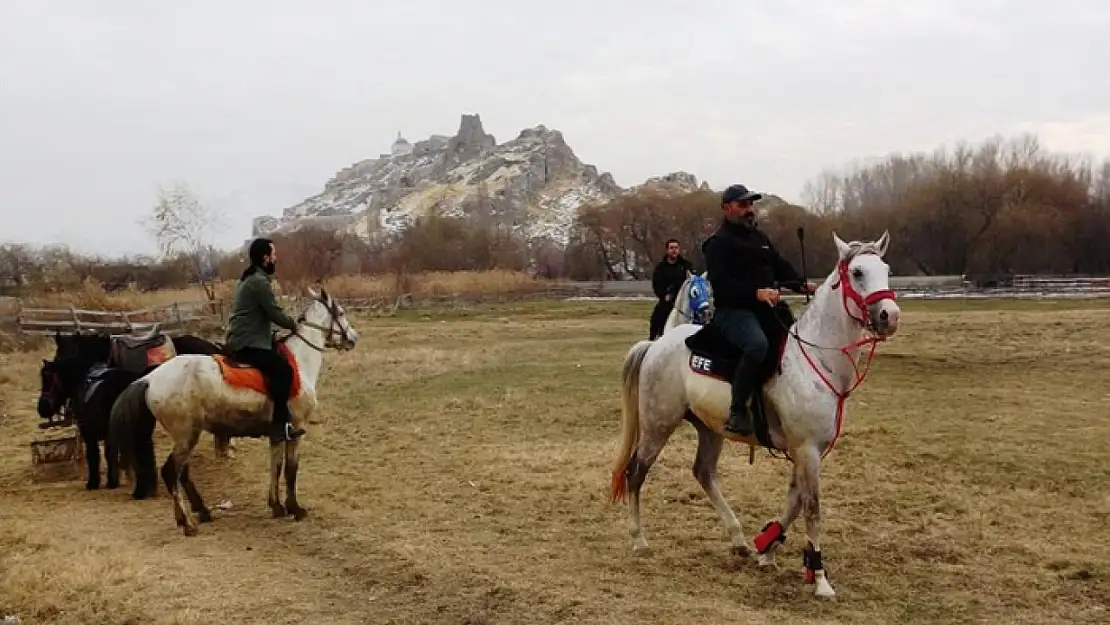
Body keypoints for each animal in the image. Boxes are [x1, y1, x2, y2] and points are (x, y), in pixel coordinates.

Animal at [108, 288, 355, 537]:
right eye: (341, 312)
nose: (352, 338)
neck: (299, 362)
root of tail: (149, 378)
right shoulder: (295, 428)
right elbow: (291, 469)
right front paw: (295, 509)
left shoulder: (276, 434)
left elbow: (275, 467)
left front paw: (276, 506)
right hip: (187, 435)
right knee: (171, 472)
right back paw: (189, 523)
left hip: (185, 437)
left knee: (181, 473)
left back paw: (196, 513)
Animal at [608, 232, 901, 599]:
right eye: (858, 272)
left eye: (886, 269)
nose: (890, 316)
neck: (816, 359)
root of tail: (657, 344)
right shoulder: (807, 450)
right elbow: (812, 508)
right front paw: (820, 578)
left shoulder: (806, 452)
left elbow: (794, 502)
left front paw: (768, 548)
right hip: (657, 425)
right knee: (636, 472)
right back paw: (639, 539)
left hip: (709, 429)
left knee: (703, 473)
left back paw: (738, 539)